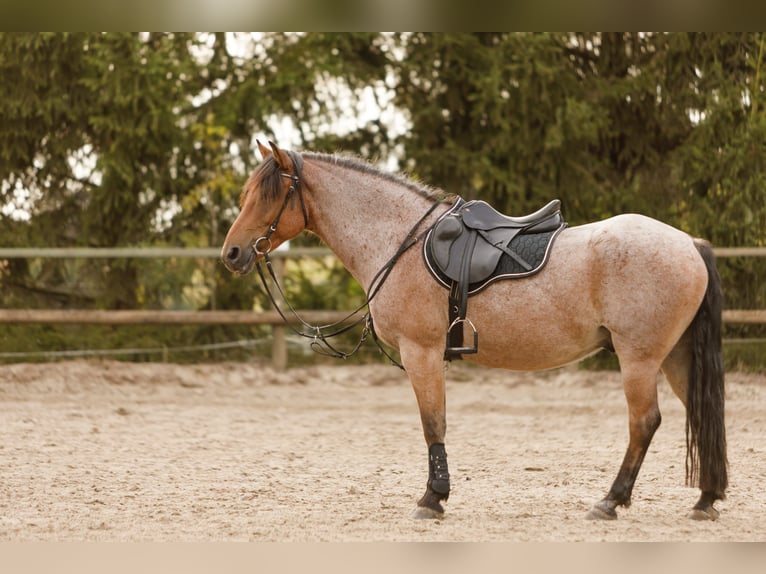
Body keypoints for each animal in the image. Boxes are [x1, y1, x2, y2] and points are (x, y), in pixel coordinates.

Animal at [221, 141, 727, 522]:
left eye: (267, 194)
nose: (232, 254)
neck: (398, 240)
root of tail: (689, 243)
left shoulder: (421, 352)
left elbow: (433, 423)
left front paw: (433, 497)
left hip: (639, 357)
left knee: (644, 422)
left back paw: (611, 501)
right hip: (675, 355)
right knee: (700, 413)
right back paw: (706, 498)